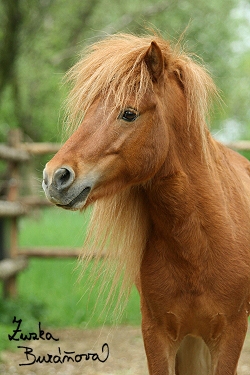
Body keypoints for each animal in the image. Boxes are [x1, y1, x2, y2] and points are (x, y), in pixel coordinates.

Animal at [42, 33, 250, 374]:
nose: (54, 178)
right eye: (89, 110)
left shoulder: (230, 334)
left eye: (128, 113)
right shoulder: (156, 334)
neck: (198, 245)